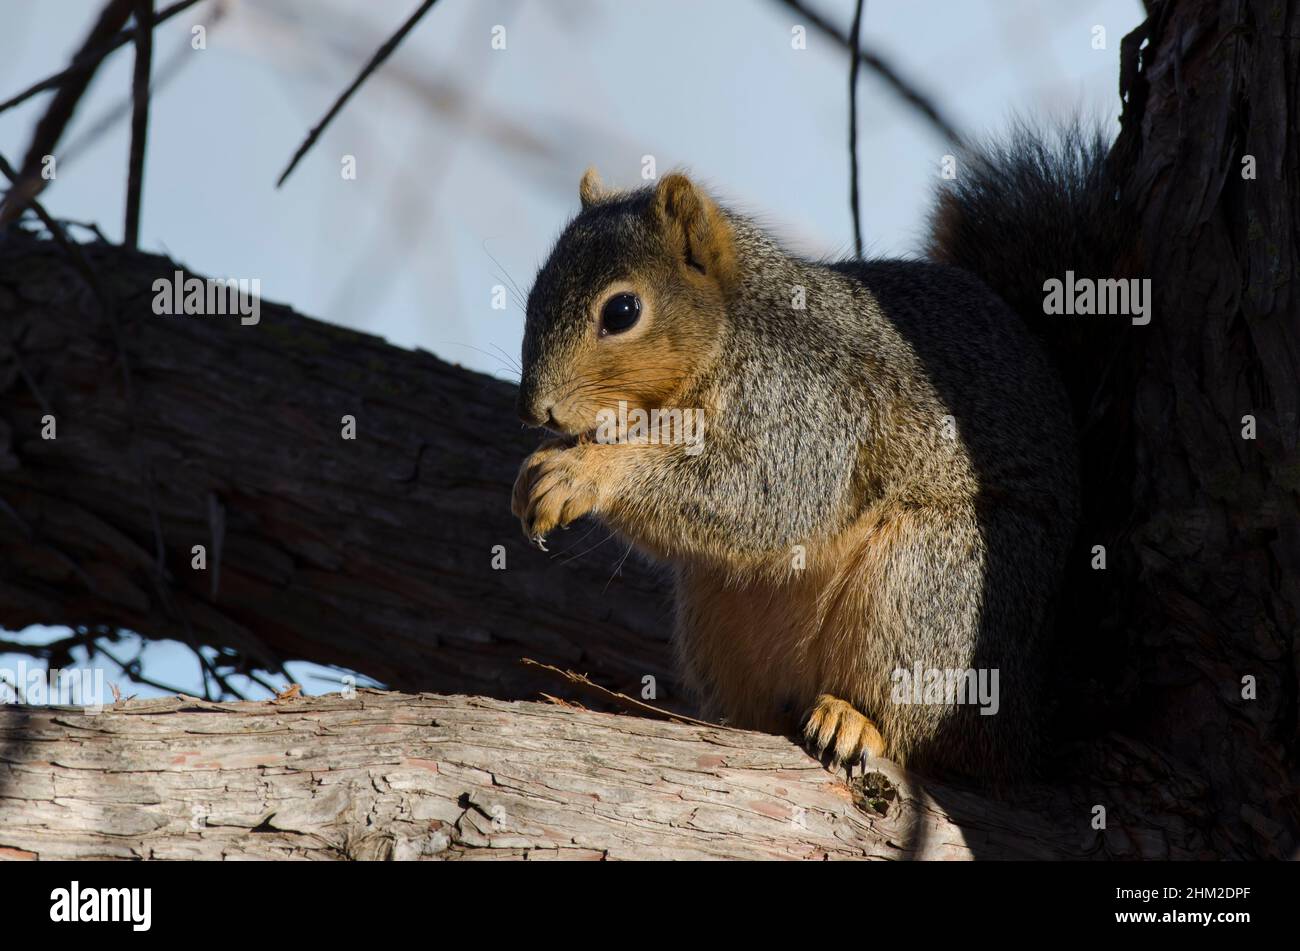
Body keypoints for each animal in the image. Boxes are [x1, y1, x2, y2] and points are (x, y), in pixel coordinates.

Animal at [512, 124, 1120, 783]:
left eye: (622, 310)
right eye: (533, 294)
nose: (536, 410)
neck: (731, 332)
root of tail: (1026, 728)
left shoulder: (807, 408)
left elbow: (760, 491)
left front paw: (581, 474)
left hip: (933, 585)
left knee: (920, 723)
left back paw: (855, 720)